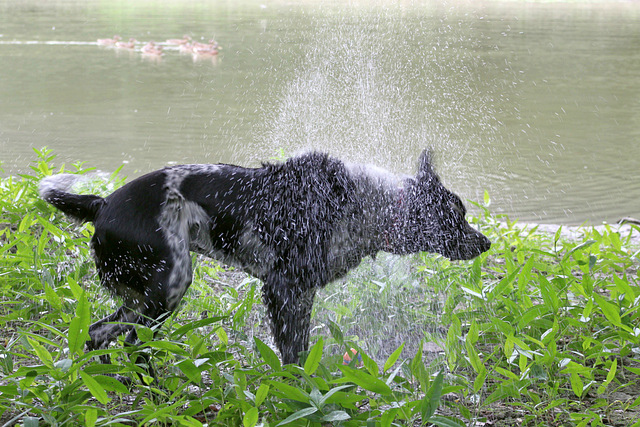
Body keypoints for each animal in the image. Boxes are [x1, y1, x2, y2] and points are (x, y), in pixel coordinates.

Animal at [38, 150, 490, 368]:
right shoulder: (284, 288)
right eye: (457, 216)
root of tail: (102, 203)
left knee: (99, 333)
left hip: (142, 295)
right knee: (135, 344)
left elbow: (298, 351)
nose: (485, 243)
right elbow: (292, 353)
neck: (367, 204)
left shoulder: (299, 293)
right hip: (169, 286)